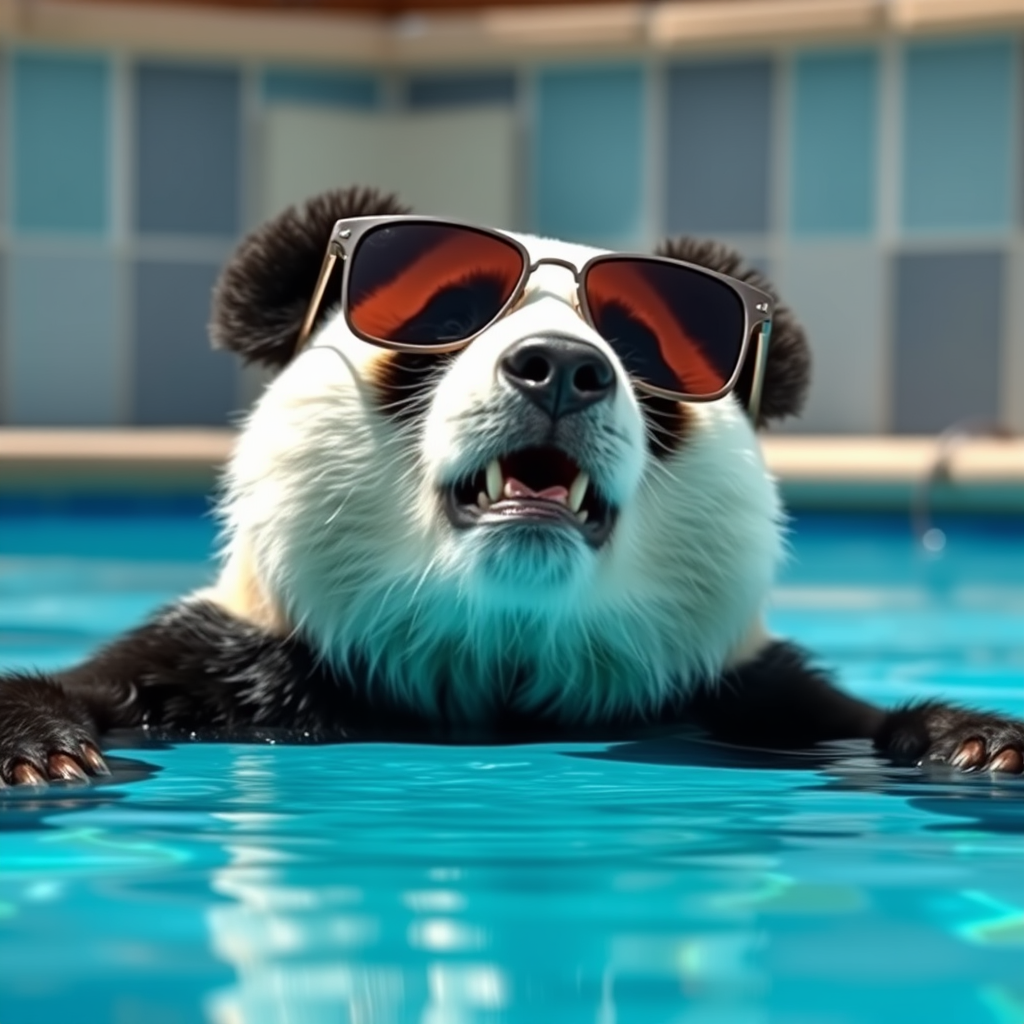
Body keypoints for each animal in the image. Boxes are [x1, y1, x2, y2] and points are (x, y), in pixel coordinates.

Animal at [2, 188, 1024, 786]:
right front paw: (42, 752)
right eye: (448, 314)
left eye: (644, 345)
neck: (495, 653)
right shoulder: (231, 664)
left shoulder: (736, 694)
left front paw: (975, 742)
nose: (562, 369)